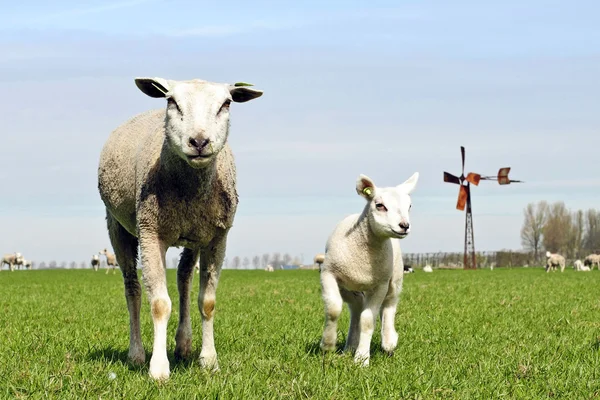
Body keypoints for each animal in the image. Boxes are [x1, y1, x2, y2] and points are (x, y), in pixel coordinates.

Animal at [318, 171, 418, 366]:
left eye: (409, 206)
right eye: (380, 205)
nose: (404, 226)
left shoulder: (380, 285)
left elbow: (368, 320)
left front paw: (361, 358)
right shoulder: (328, 273)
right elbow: (333, 308)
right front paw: (327, 344)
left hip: (394, 280)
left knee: (389, 306)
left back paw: (389, 340)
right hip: (349, 288)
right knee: (356, 309)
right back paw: (349, 347)